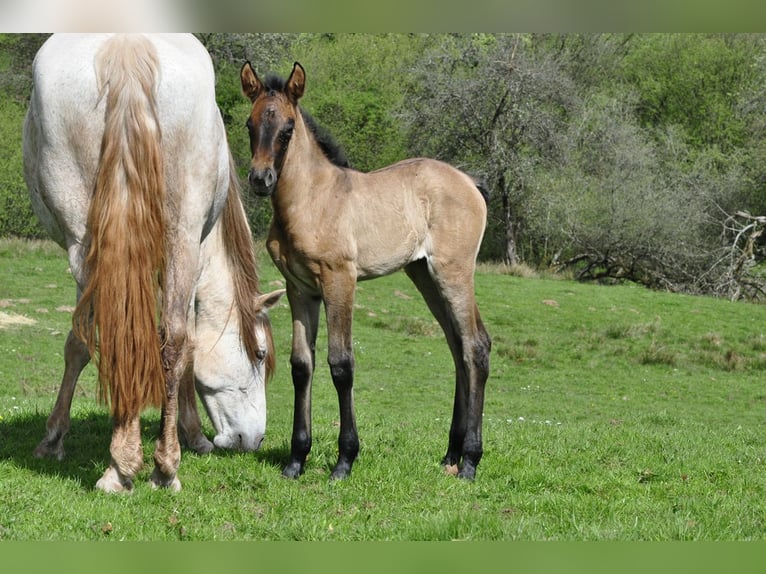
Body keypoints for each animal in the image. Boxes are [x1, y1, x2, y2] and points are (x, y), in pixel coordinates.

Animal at [25, 35, 286, 496]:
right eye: (258, 353)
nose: (253, 439)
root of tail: (126, 49)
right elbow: (183, 345)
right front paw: (192, 436)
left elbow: (83, 343)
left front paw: (55, 438)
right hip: (178, 236)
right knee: (171, 339)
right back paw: (160, 467)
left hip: (86, 241)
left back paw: (127, 466)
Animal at [238, 62, 492, 482]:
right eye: (249, 123)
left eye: (287, 128)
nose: (260, 180)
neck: (312, 200)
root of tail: (469, 182)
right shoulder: (299, 288)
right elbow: (301, 366)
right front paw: (296, 460)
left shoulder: (339, 279)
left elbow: (341, 365)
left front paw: (344, 461)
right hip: (423, 275)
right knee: (458, 347)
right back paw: (451, 455)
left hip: (453, 272)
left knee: (476, 347)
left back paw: (470, 461)